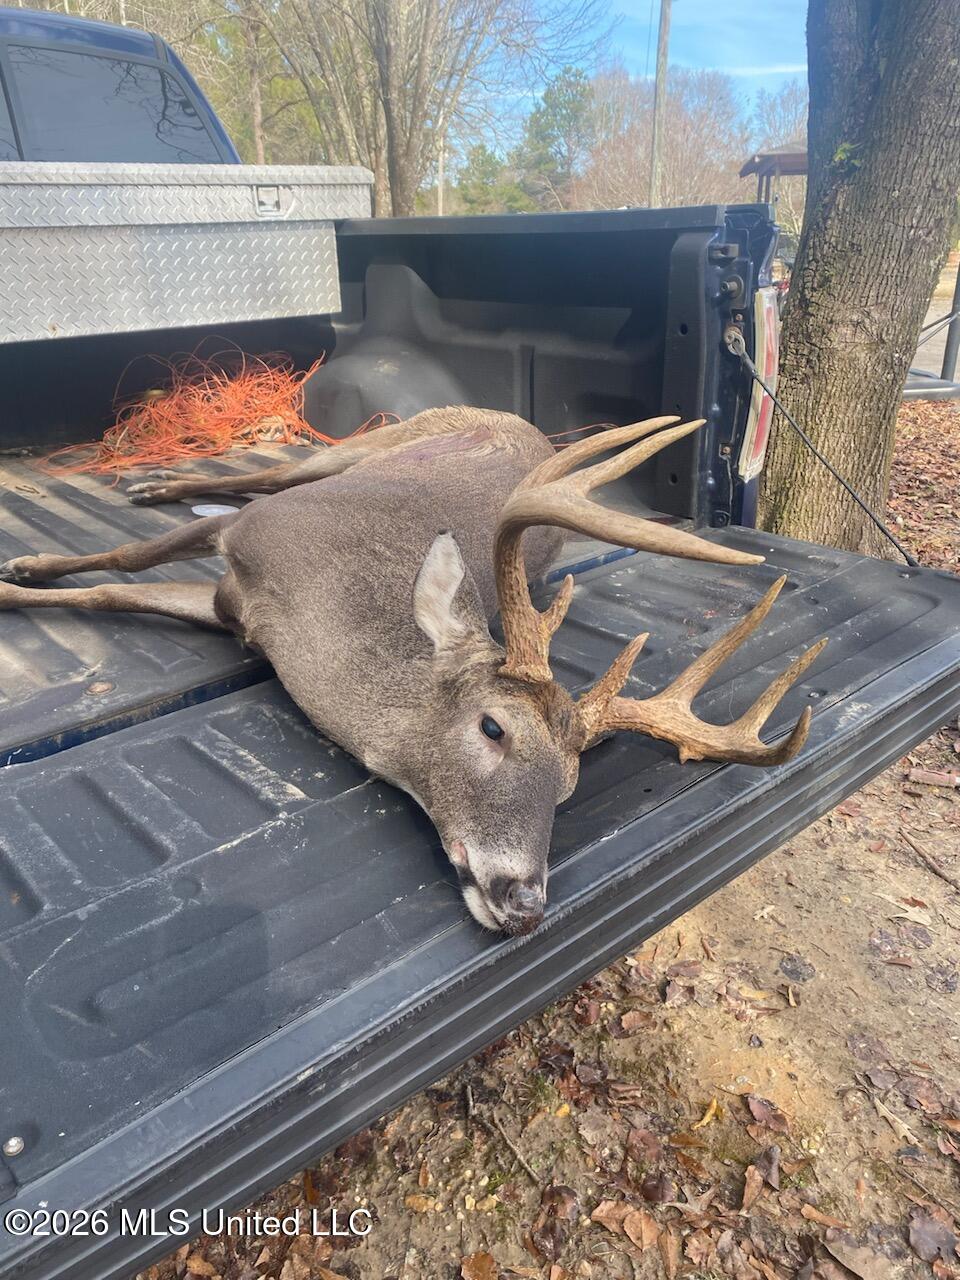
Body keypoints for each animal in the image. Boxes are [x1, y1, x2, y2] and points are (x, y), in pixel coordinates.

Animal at [0, 408, 825, 936]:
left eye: (569, 785)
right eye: (493, 727)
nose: (524, 906)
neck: (310, 613)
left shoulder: (233, 609)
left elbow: (114, 590)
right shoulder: (246, 540)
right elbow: (119, 562)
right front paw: (25, 571)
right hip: (363, 447)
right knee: (269, 475)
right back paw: (151, 484)